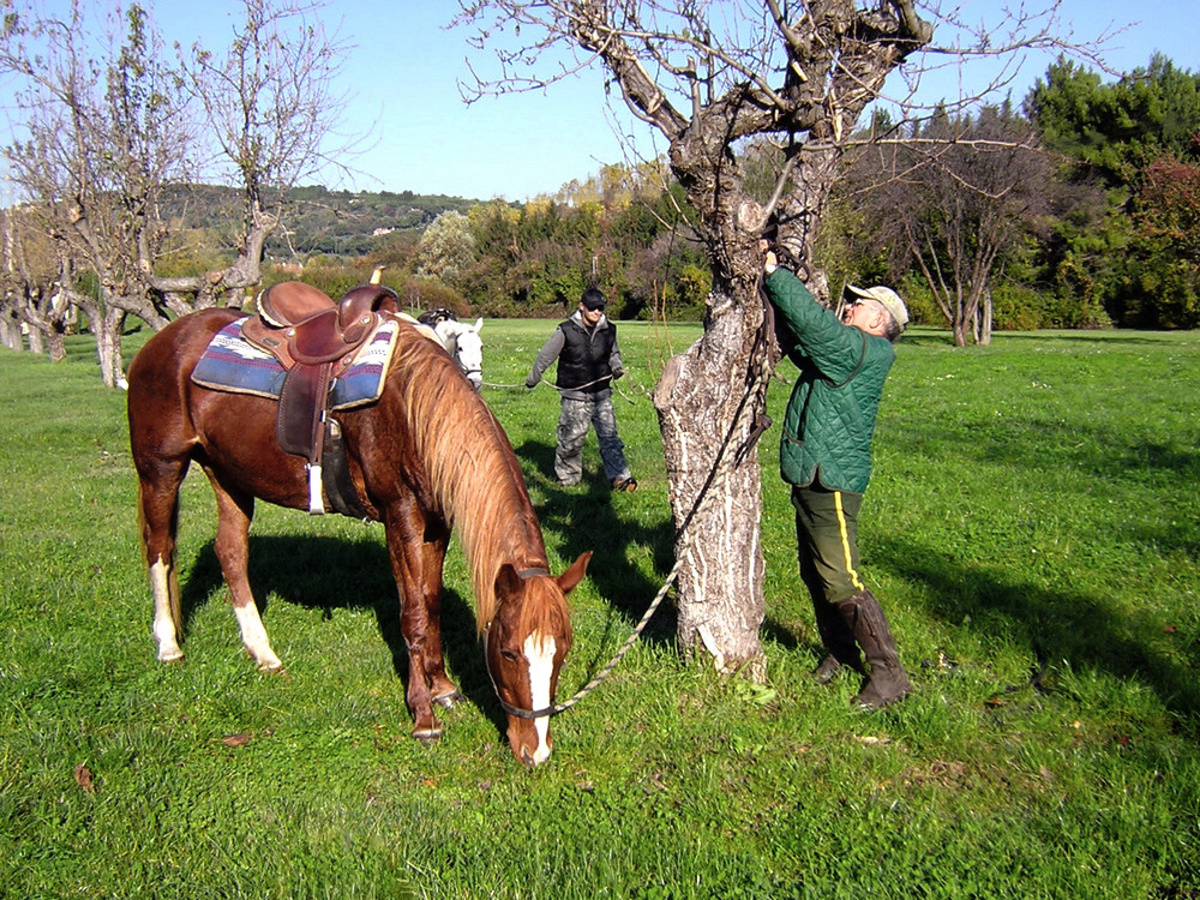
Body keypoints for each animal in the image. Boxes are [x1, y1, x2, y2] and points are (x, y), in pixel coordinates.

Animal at [126, 304, 590, 768]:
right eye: (509, 651)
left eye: (564, 652)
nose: (537, 750)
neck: (414, 408)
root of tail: (165, 339)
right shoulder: (400, 515)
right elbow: (413, 615)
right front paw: (423, 715)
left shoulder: (437, 522)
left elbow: (432, 603)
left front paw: (442, 686)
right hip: (161, 467)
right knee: (160, 549)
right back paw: (168, 644)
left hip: (229, 473)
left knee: (231, 553)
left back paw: (263, 653)